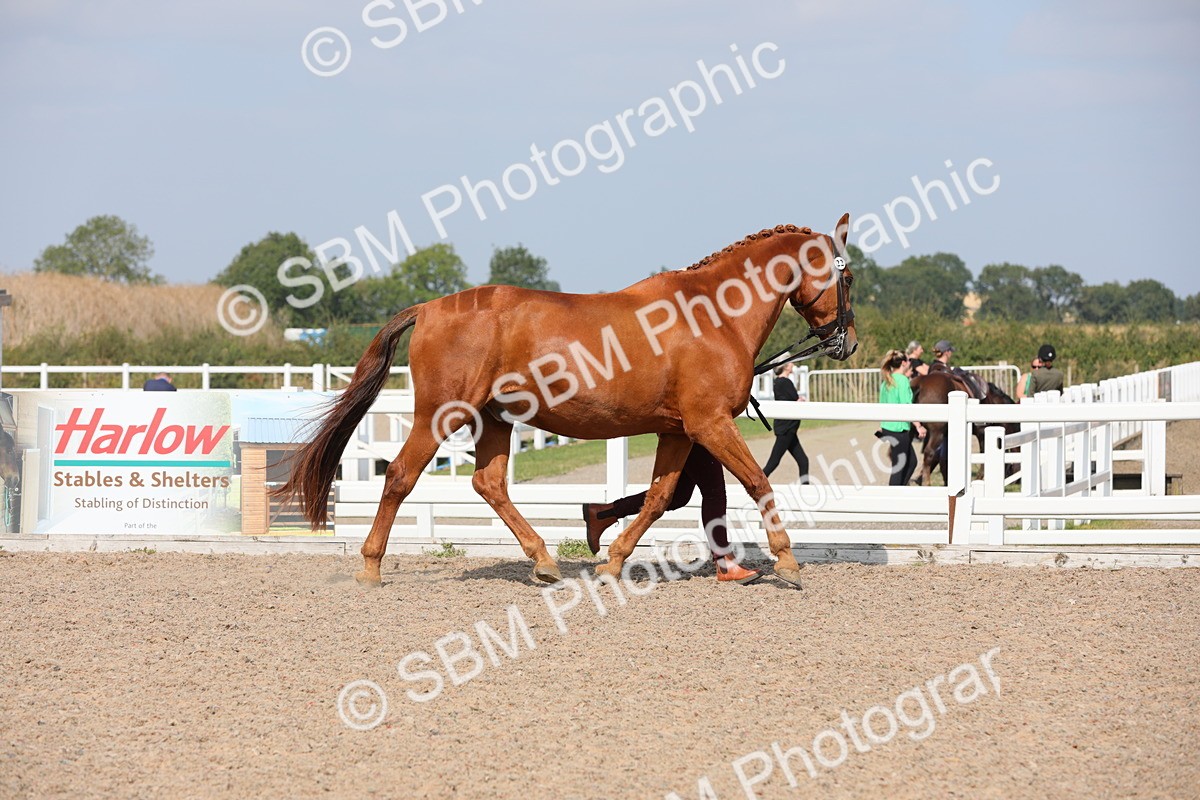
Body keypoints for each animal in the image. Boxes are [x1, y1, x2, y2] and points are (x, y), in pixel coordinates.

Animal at [274, 217, 858, 588]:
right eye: (847, 275)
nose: (847, 342)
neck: (712, 315)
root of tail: (431, 306)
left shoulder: (677, 430)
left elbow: (658, 498)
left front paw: (612, 563)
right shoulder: (710, 424)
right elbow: (759, 483)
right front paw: (787, 564)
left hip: (495, 420)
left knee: (489, 483)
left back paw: (544, 562)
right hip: (442, 415)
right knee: (400, 475)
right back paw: (371, 567)